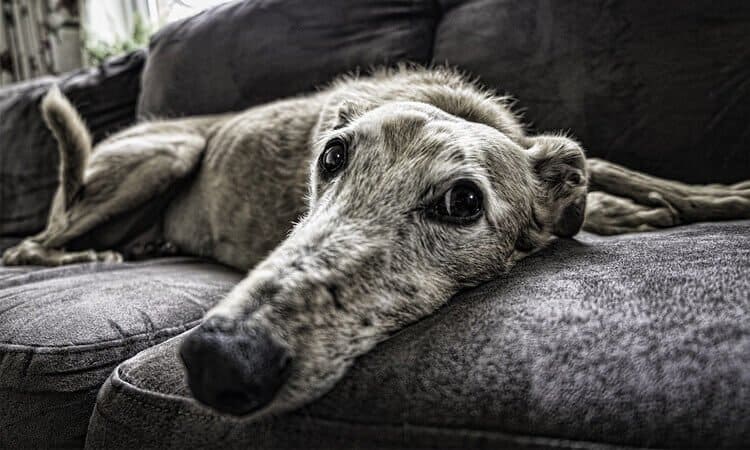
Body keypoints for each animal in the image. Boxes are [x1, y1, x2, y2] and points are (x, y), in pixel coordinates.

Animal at [1, 66, 750, 418]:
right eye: (331, 156)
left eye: (462, 202)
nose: (219, 360)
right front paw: (635, 212)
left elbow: (622, 170)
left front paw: (714, 197)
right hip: (165, 154)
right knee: (30, 246)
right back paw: (90, 253)